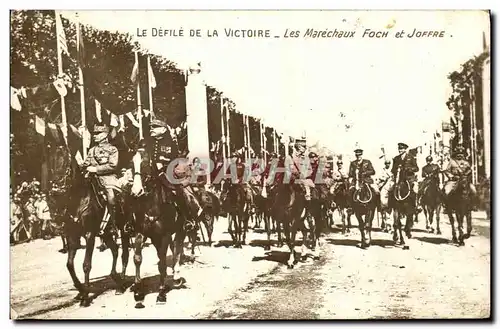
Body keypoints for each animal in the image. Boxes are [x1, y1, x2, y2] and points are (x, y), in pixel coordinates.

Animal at [127, 152, 188, 306]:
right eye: (131, 163)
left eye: (145, 164)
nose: (136, 191)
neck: (151, 205)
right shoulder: (141, 233)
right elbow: (137, 258)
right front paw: (138, 291)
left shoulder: (164, 236)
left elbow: (162, 263)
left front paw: (161, 293)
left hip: (180, 230)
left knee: (177, 249)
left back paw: (177, 275)